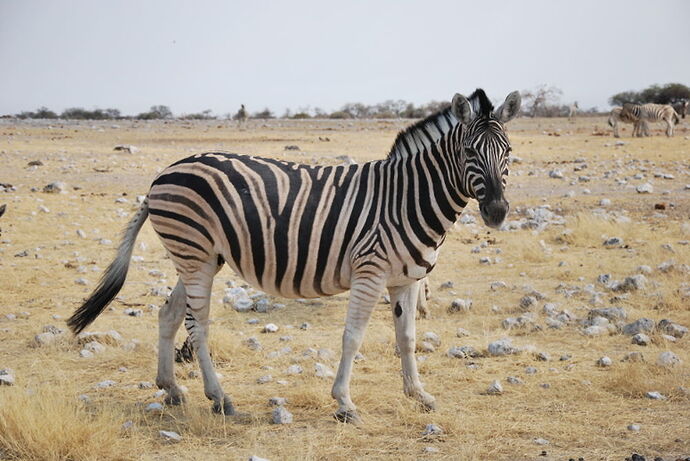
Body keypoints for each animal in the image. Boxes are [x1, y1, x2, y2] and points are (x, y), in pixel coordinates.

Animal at [70, 88, 520, 422]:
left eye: (509, 153)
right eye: (468, 153)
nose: (497, 213)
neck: (406, 197)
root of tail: (164, 173)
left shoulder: (406, 279)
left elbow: (407, 338)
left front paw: (418, 394)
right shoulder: (370, 271)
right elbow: (353, 337)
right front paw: (345, 403)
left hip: (200, 256)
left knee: (168, 313)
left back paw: (172, 389)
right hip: (194, 253)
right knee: (197, 326)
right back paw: (220, 399)